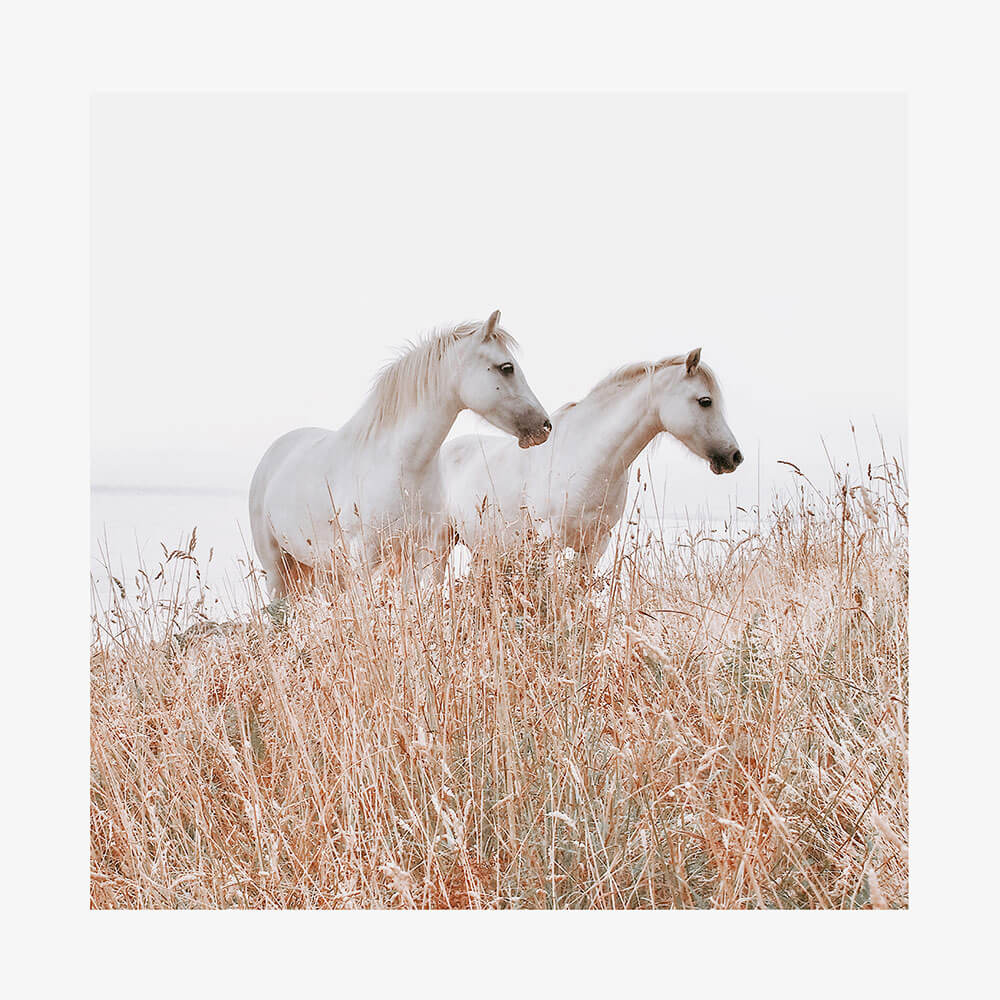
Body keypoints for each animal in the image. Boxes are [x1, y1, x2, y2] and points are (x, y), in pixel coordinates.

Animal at [249, 311, 551, 598]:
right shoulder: (362, 560)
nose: (545, 426)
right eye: (507, 368)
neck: (401, 463)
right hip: (276, 570)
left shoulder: (419, 554)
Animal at [441, 347, 742, 571]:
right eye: (705, 401)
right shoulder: (550, 540)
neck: (590, 457)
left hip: (483, 549)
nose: (734, 456)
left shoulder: (596, 544)